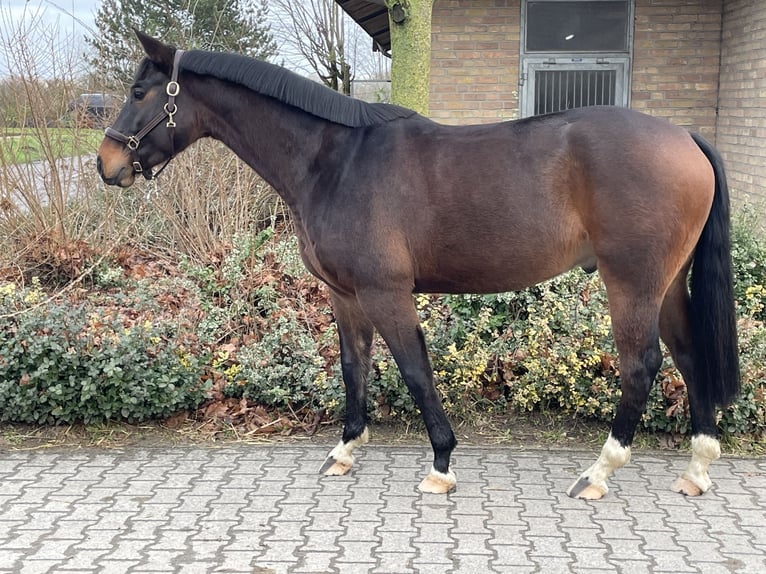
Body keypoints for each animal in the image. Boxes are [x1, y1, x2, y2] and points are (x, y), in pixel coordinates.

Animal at [96, 31, 736, 500]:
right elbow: (354, 367)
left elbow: (413, 371)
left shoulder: (386, 292)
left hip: (631, 281)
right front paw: (344, 451)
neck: (333, 161)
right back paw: (697, 468)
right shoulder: (345, 294)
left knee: (642, 365)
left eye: (139, 92)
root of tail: (685, 137)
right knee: (687, 353)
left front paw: (441, 465)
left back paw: (600, 472)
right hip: (666, 284)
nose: (106, 164)